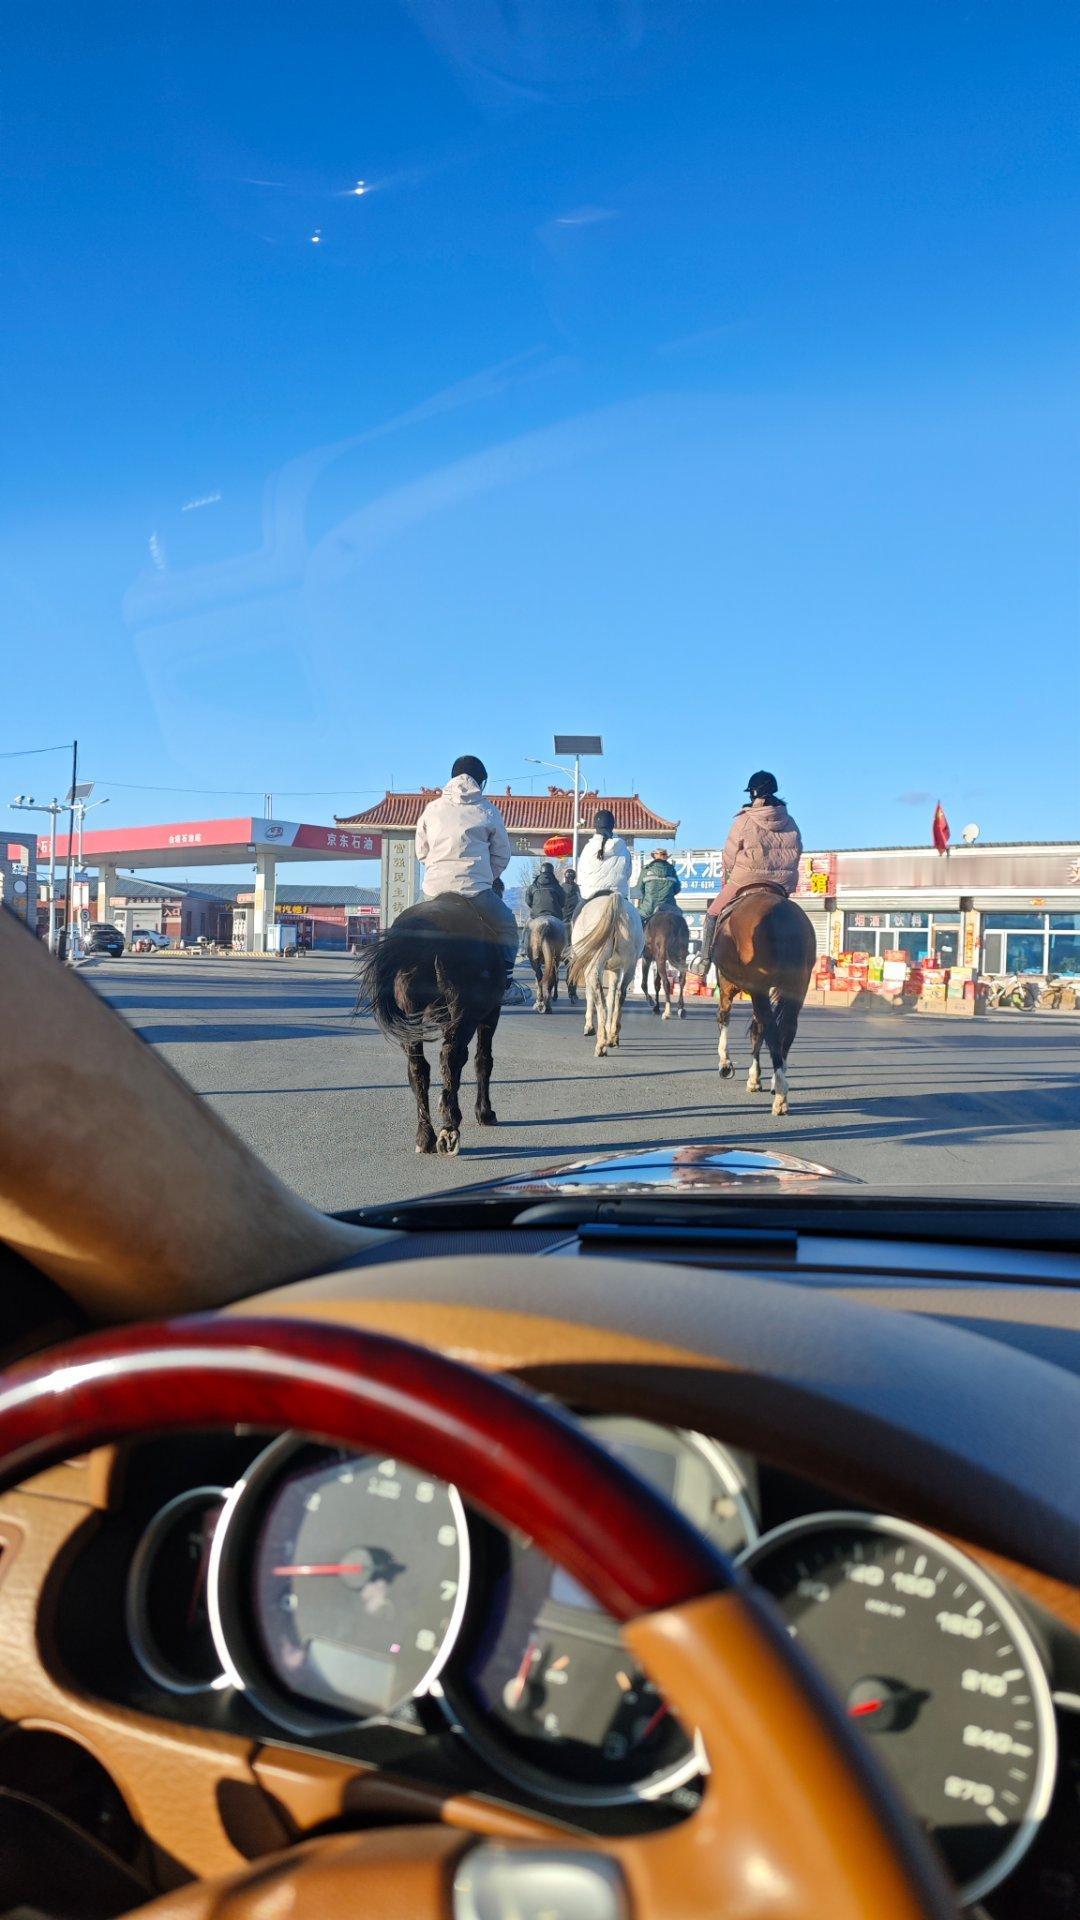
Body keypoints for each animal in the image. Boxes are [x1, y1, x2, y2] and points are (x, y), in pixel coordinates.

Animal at [351, 894, 507, 1152]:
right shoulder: (490, 1014)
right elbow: (483, 1061)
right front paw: (485, 1112)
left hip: (410, 1019)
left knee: (419, 1068)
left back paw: (425, 1135)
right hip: (464, 1016)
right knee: (452, 1056)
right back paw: (450, 1124)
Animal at [564, 890, 638, 1059]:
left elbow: (590, 995)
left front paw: (589, 1027)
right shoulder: (615, 969)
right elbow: (612, 996)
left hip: (593, 965)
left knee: (601, 1003)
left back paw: (601, 1045)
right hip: (631, 964)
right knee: (619, 996)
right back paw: (613, 1037)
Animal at [703, 887, 810, 1121]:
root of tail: (781, 915)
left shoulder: (728, 985)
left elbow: (724, 1016)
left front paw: (726, 1063)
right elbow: (756, 1029)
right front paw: (755, 1077)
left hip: (757, 987)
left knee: (769, 1029)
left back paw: (780, 1094)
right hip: (798, 985)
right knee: (786, 1028)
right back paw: (778, 1080)